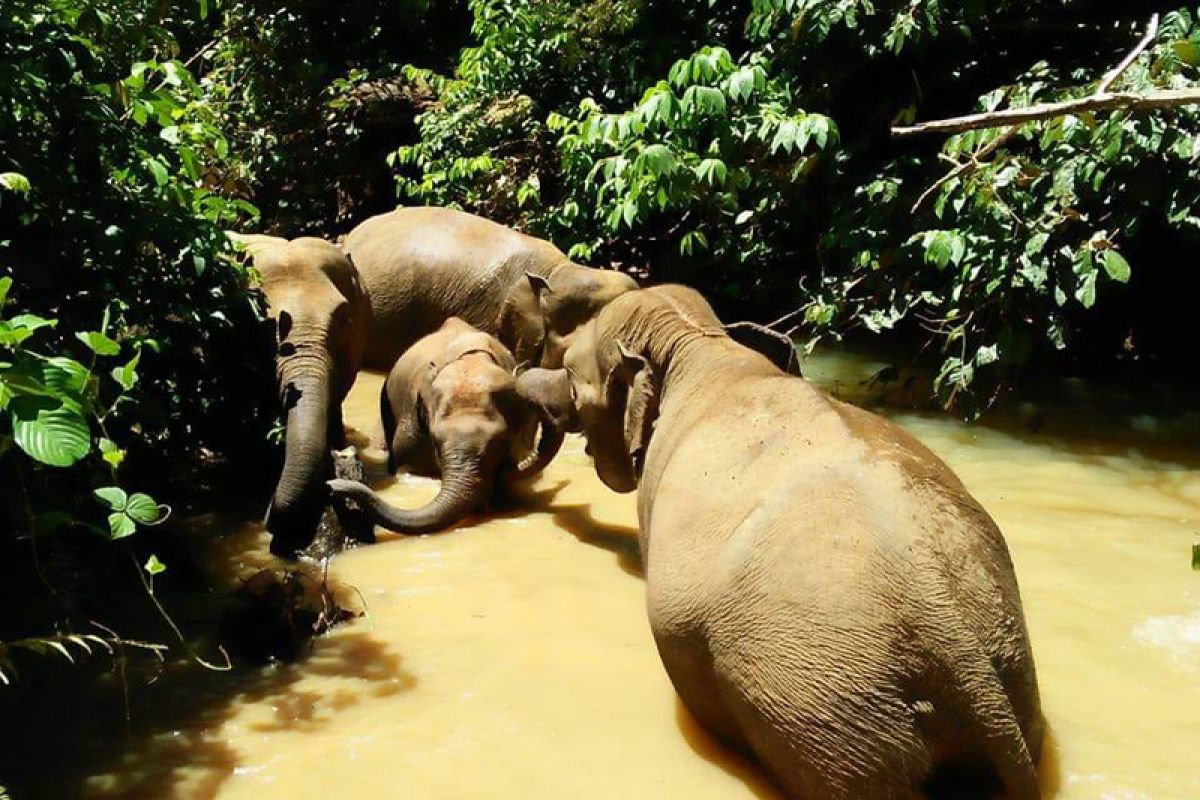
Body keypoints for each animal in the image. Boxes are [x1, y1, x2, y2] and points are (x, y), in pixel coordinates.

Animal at [326, 316, 564, 532]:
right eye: (435, 440)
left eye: (500, 442)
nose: (331, 486)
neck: (472, 361)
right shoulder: (413, 419)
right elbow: (409, 466)